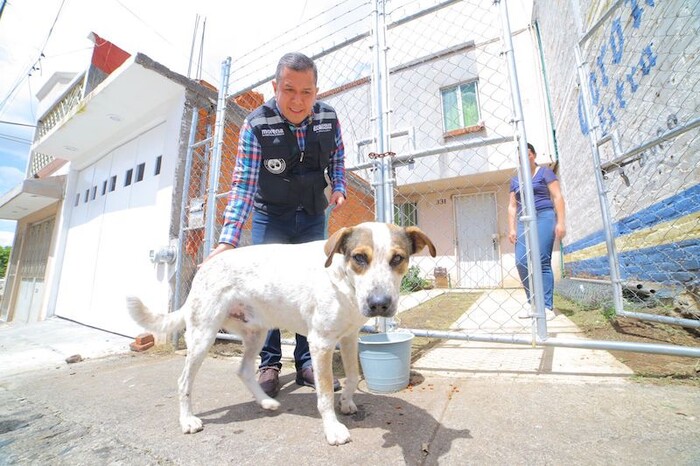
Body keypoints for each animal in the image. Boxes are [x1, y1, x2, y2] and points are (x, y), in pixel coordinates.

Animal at [125, 222, 432, 444]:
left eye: (398, 258)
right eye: (359, 257)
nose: (379, 304)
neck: (344, 283)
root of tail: (204, 267)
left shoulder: (348, 337)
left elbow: (354, 376)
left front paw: (346, 402)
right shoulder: (321, 343)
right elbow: (324, 394)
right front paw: (333, 428)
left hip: (256, 332)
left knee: (244, 370)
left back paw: (265, 401)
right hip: (204, 334)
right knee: (183, 381)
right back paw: (187, 420)